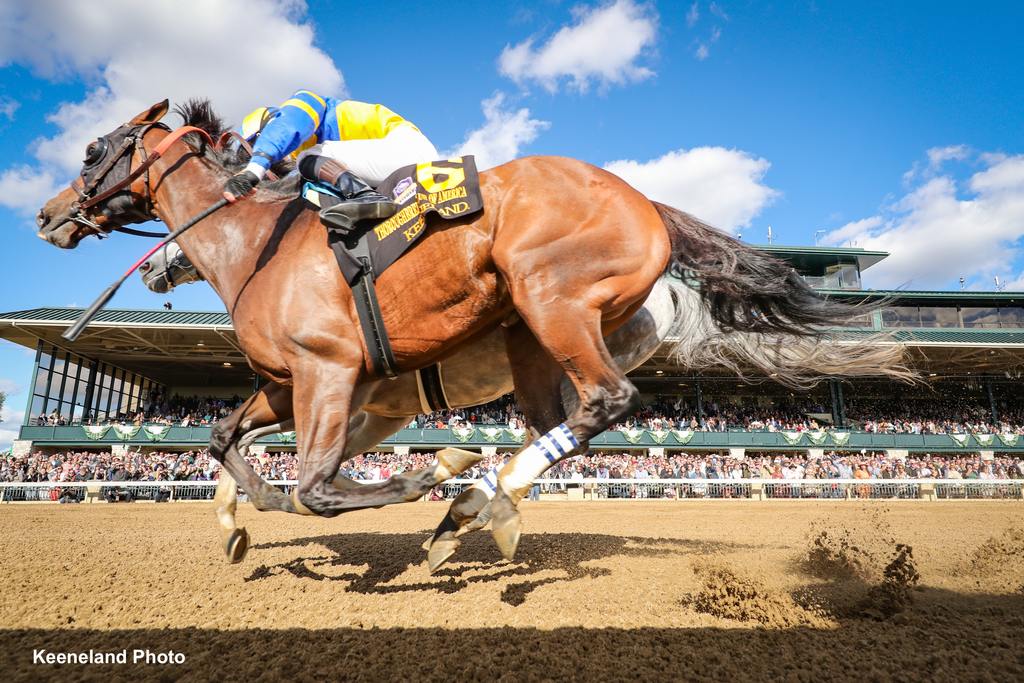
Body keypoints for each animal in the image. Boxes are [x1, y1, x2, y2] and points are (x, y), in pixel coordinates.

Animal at [34, 100, 913, 561]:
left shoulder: (330, 373)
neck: (257, 245)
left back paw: (469, 500)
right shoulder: (290, 385)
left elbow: (318, 484)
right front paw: (241, 522)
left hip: (553, 301)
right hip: (531, 335)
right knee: (560, 420)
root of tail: (645, 202)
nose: (46, 215)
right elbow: (226, 442)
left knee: (605, 403)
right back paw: (478, 506)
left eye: (94, 148)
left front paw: (422, 477)